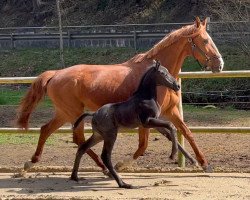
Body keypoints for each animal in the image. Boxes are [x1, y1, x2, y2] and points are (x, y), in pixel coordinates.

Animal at [17, 17, 225, 173]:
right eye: (205, 41)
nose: (219, 64)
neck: (154, 76)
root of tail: (55, 74)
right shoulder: (146, 119)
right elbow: (143, 145)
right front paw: (122, 164)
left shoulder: (171, 112)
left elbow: (186, 133)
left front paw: (203, 163)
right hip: (73, 112)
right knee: (77, 139)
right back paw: (103, 166)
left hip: (64, 112)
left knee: (46, 129)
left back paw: (31, 162)